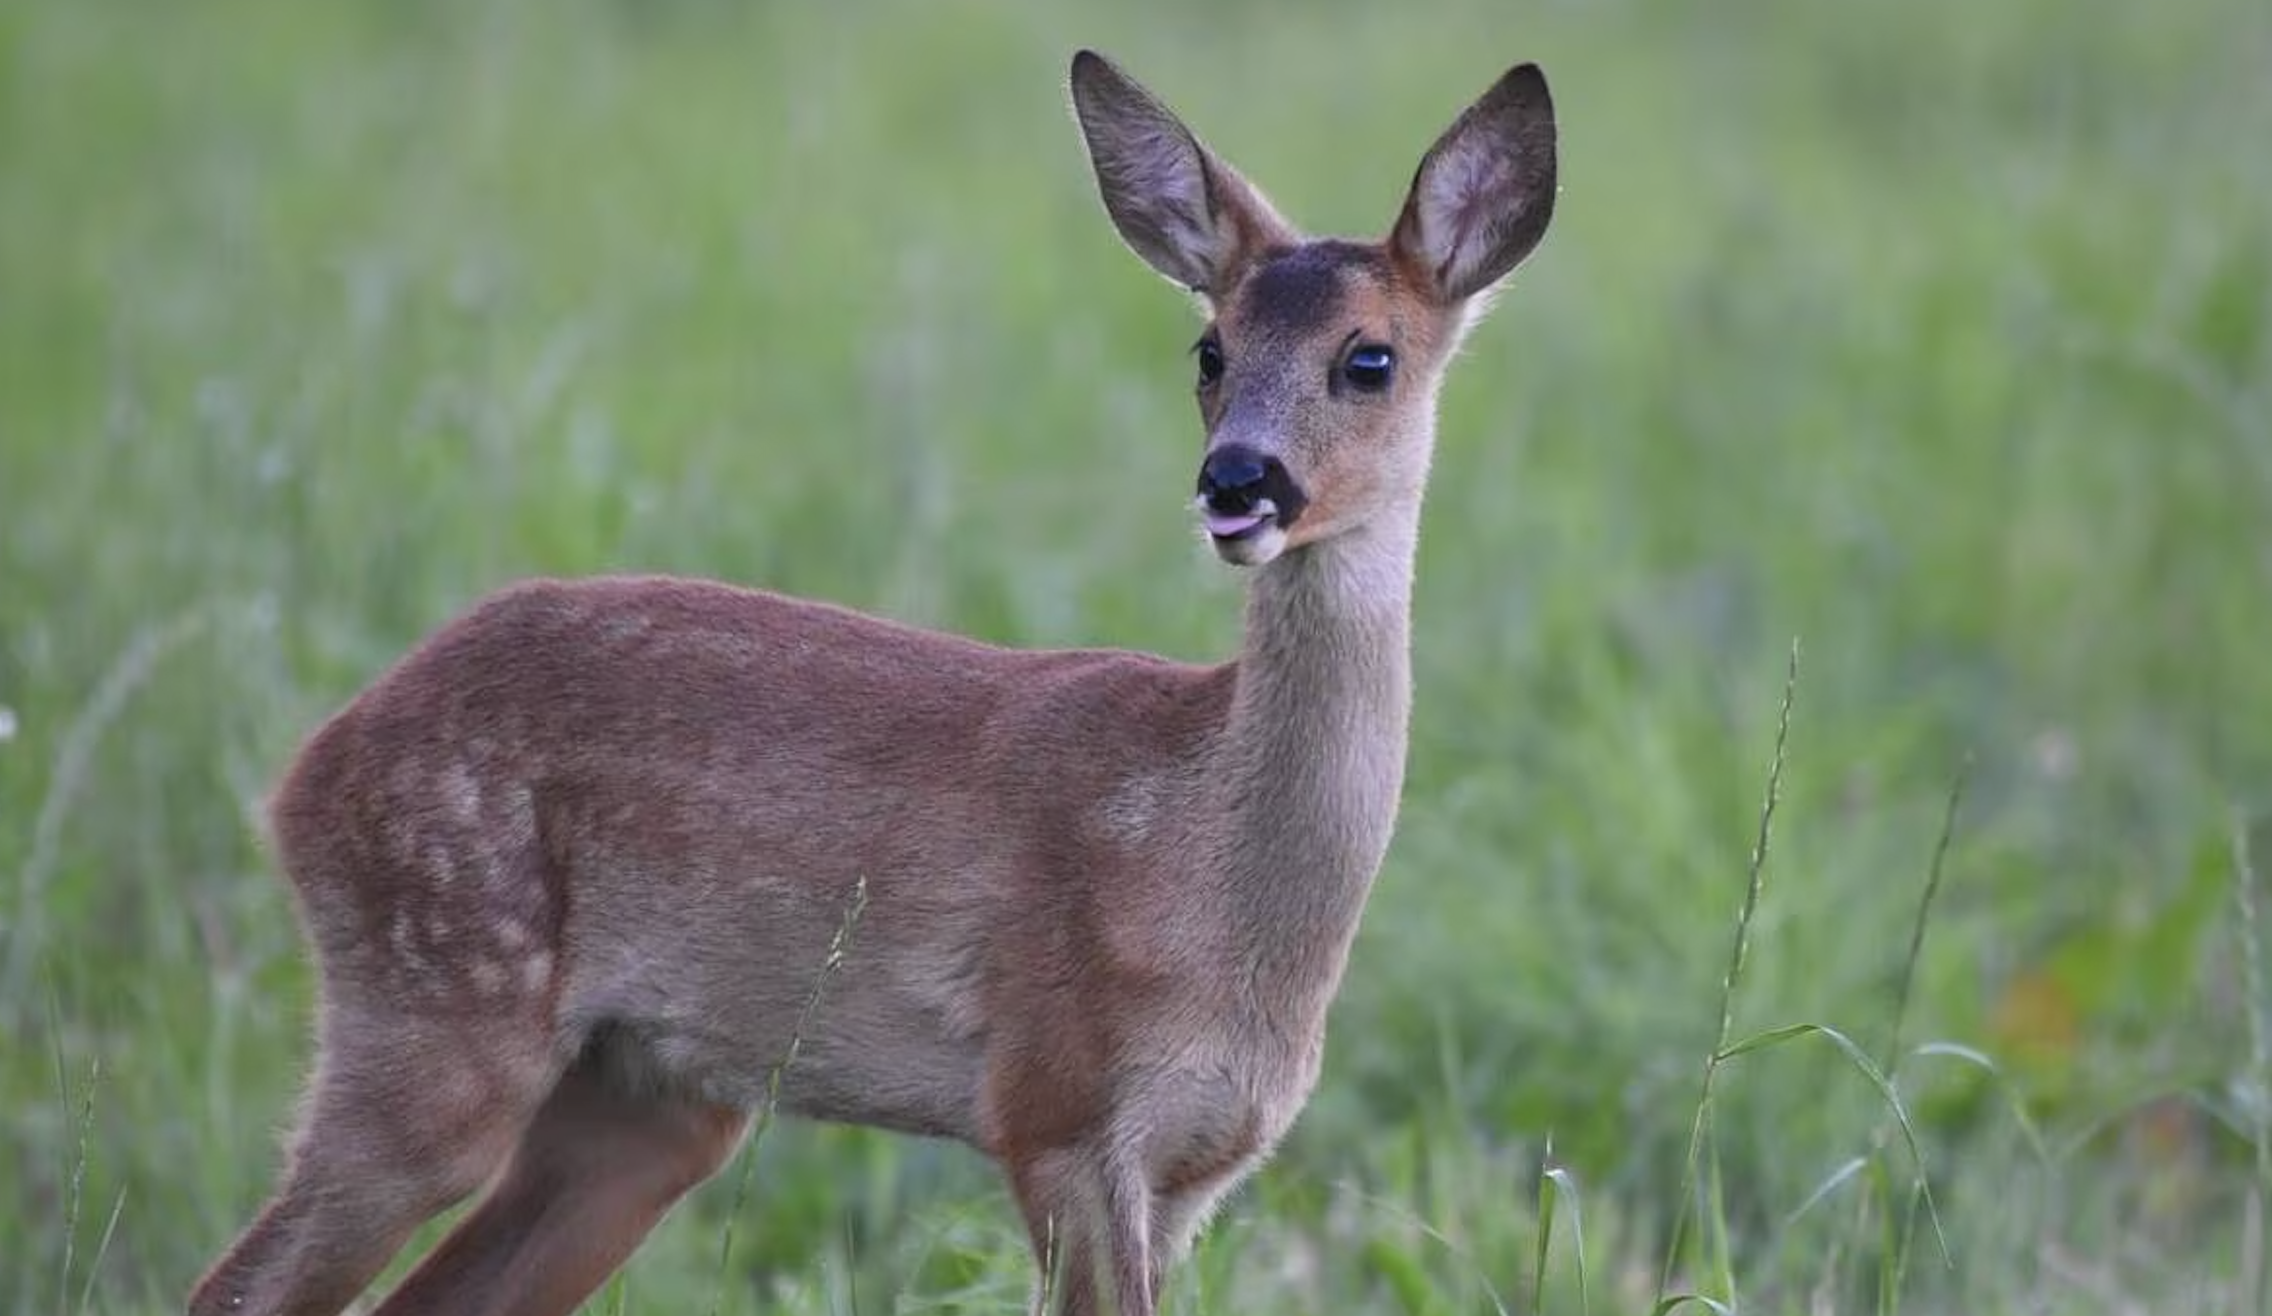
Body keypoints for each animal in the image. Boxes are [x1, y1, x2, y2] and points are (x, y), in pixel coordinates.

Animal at [195, 43, 1554, 1316]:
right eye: (1208, 347)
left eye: (1369, 358)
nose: (1237, 480)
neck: (1205, 870)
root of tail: (304, 774)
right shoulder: (1052, 1102)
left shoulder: (1195, 1163)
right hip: (434, 996)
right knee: (245, 1282)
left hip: (643, 1099)